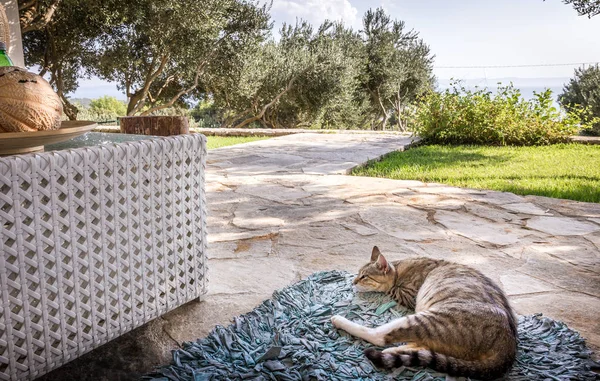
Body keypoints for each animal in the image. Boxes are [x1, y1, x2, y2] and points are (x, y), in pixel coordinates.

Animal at [330, 245, 516, 378]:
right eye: (358, 273)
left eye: (364, 277)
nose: (353, 281)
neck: (400, 268)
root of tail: (508, 347)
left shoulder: (407, 294)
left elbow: (391, 289)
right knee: (423, 347)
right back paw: (394, 352)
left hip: (427, 319)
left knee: (379, 336)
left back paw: (339, 320)